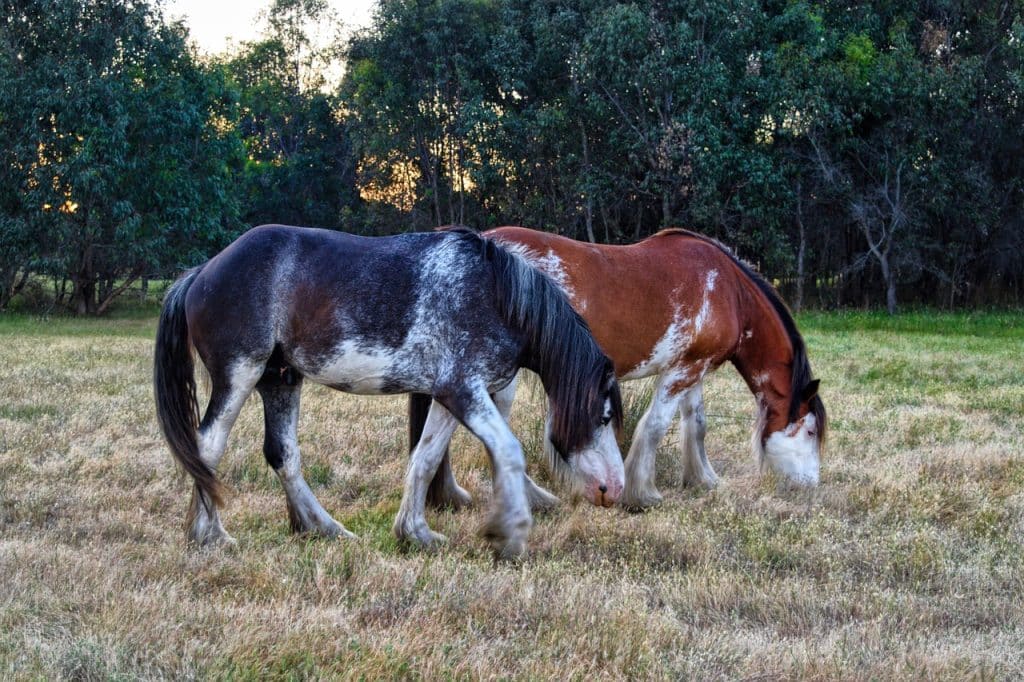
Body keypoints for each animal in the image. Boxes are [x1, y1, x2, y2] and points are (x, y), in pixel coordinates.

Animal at [148, 224, 618, 557]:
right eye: (604, 415)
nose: (611, 490)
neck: (493, 296)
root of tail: (201, 272)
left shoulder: (452, 395)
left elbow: (425, 458)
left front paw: (416, 533)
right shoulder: (463, 391)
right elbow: (508, 450)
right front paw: (510, 534)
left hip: (280, 380)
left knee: (283, 455)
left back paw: (325, 529)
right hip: (239, 375)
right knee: (207, 449)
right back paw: (209, 536)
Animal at [407, 224, 823, 509]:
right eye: (809, 431)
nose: (810, 484)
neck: (729, 292)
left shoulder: (694, 369)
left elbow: (697, 424)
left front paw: (703, 479)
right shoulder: (680, 372)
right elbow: (654, 426)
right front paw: (643, 493)